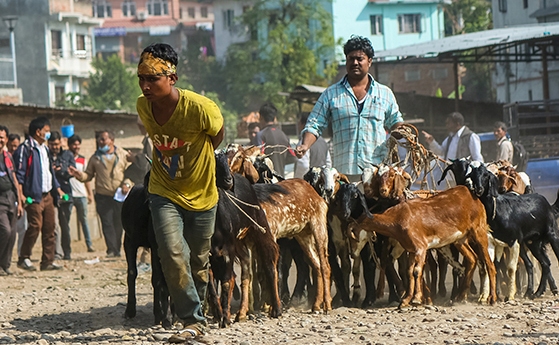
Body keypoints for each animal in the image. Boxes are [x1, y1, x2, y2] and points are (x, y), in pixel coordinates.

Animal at [348, 185, 496, 306]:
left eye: (352, 235)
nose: (352, 253)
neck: (398, 218)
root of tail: (471, 195)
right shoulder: (411, 249)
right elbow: (409, 272)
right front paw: (406, 301)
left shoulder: (421, 247)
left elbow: (417, 271)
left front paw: (416, 299)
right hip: (460, 239)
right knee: (472, 259)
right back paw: (460, 297)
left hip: (479, 231)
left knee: (489, 264)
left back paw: (491, 299)